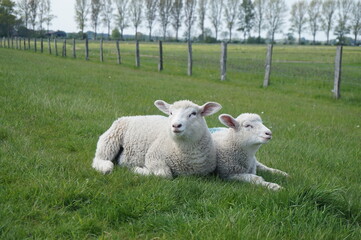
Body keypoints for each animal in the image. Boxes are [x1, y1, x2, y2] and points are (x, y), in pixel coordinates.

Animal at [91, 99, 221, 178]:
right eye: (170, 113)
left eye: (193, 113)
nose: (176, 125)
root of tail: (128, 116)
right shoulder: (153, 157)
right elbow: (164, 174)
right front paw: (138, 170)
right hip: (110, 140)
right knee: (99, 159)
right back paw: (106, 167)